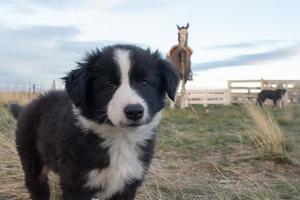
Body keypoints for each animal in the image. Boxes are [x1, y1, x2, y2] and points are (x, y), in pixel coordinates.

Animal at [11, 44, 179, 199]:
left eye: (144, 83)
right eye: (109, 85)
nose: (134, 111)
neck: (120, 138)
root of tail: (28, 106)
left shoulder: (128, 184)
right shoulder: (77, 184)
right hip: (31, 159)